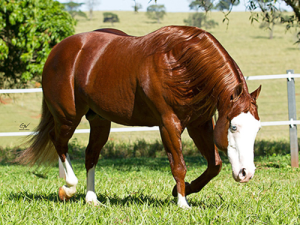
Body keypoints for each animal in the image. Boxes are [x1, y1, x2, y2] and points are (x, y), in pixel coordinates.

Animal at [19, 26, 262, 209]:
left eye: (257, 128)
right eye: (233, 127)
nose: (246, 173)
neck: (180, 64)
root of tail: (57, 50)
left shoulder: (199, 124)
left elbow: (215, 165)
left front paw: (179, 191)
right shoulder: (168, 124)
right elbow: (179, 165)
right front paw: (182, 203)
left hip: (99, 120)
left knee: (91, 155)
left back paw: (92, 199)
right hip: (68, 117)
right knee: (59, 142)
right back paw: (68, 189)